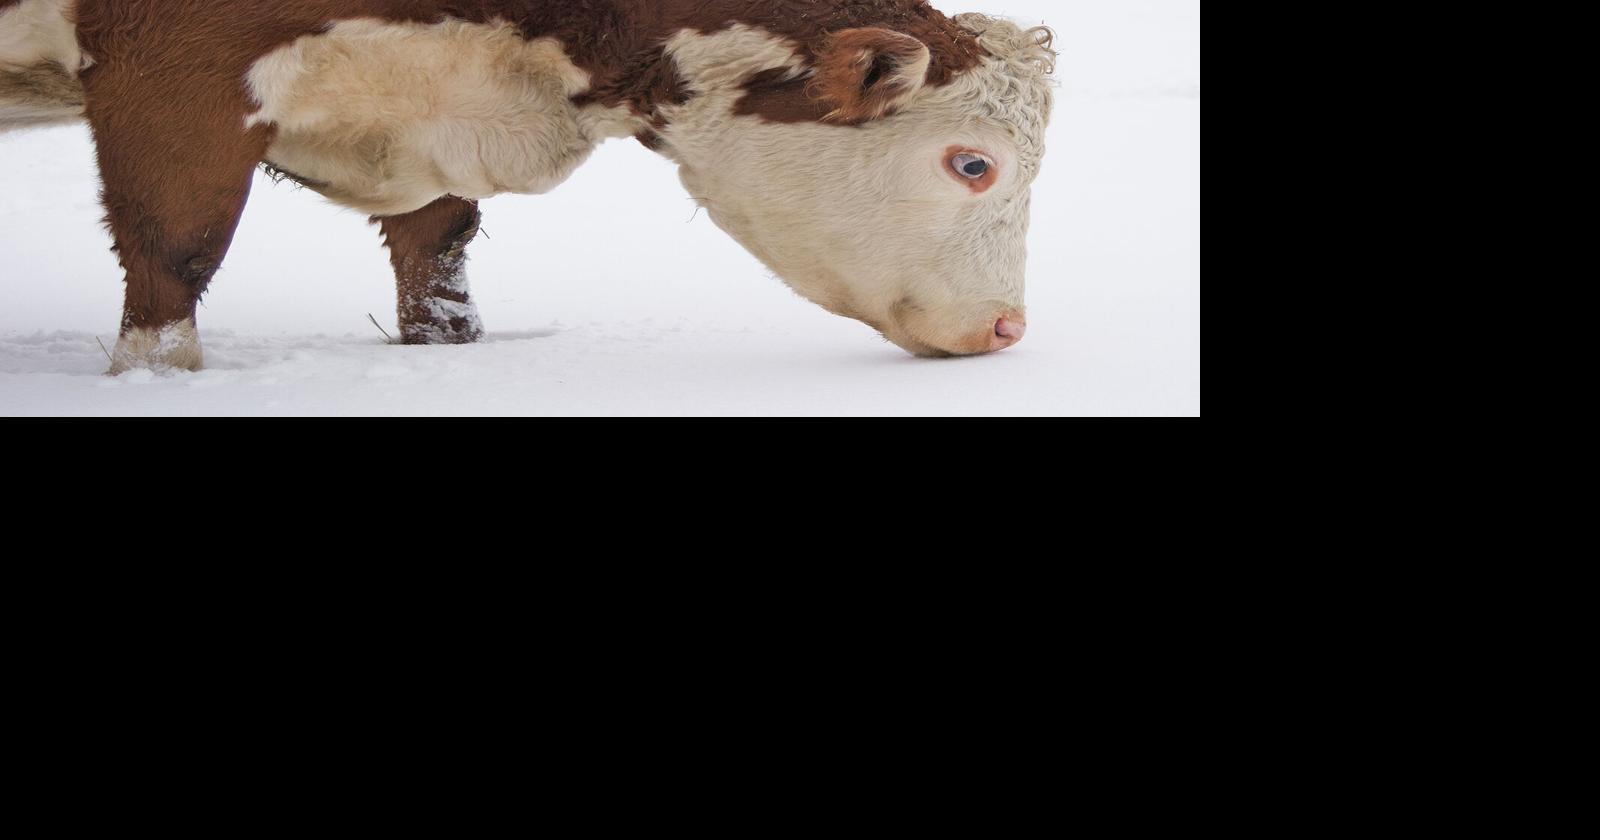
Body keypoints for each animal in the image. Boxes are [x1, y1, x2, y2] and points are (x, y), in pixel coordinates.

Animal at [0, 0, 1054, 373]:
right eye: (973, 163)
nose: (1010, 328)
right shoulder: (170, 72)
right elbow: (174, 251)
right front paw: (152, 383)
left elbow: (436, 259)